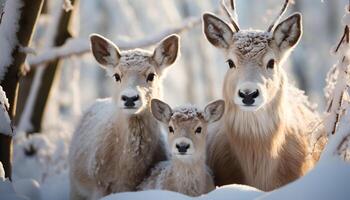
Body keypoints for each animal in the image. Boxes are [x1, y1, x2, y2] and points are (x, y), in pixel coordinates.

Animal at [69, 33, 180, 199]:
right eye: (116, 76)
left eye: (151, 75)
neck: (127, 174)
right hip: (76, 187)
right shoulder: (98, 184)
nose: (129, 98)